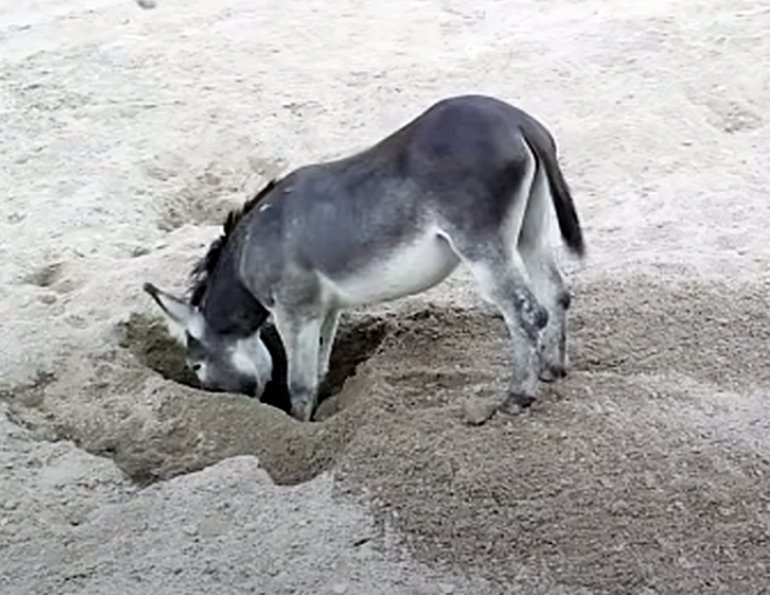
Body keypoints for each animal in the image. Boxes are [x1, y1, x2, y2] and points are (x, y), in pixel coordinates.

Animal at [144, 94, 585, 421]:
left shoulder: (293, 312)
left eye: (195, 366)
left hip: (482, 245)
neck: (252, 246)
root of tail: (515, 121)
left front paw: (300, 427)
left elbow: (299, 384)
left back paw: (516, 397)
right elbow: (320, 370)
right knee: (556, 293)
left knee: (526, 312)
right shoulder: (326, 308)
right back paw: (552, 370)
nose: (232, 409)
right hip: (530, 230)